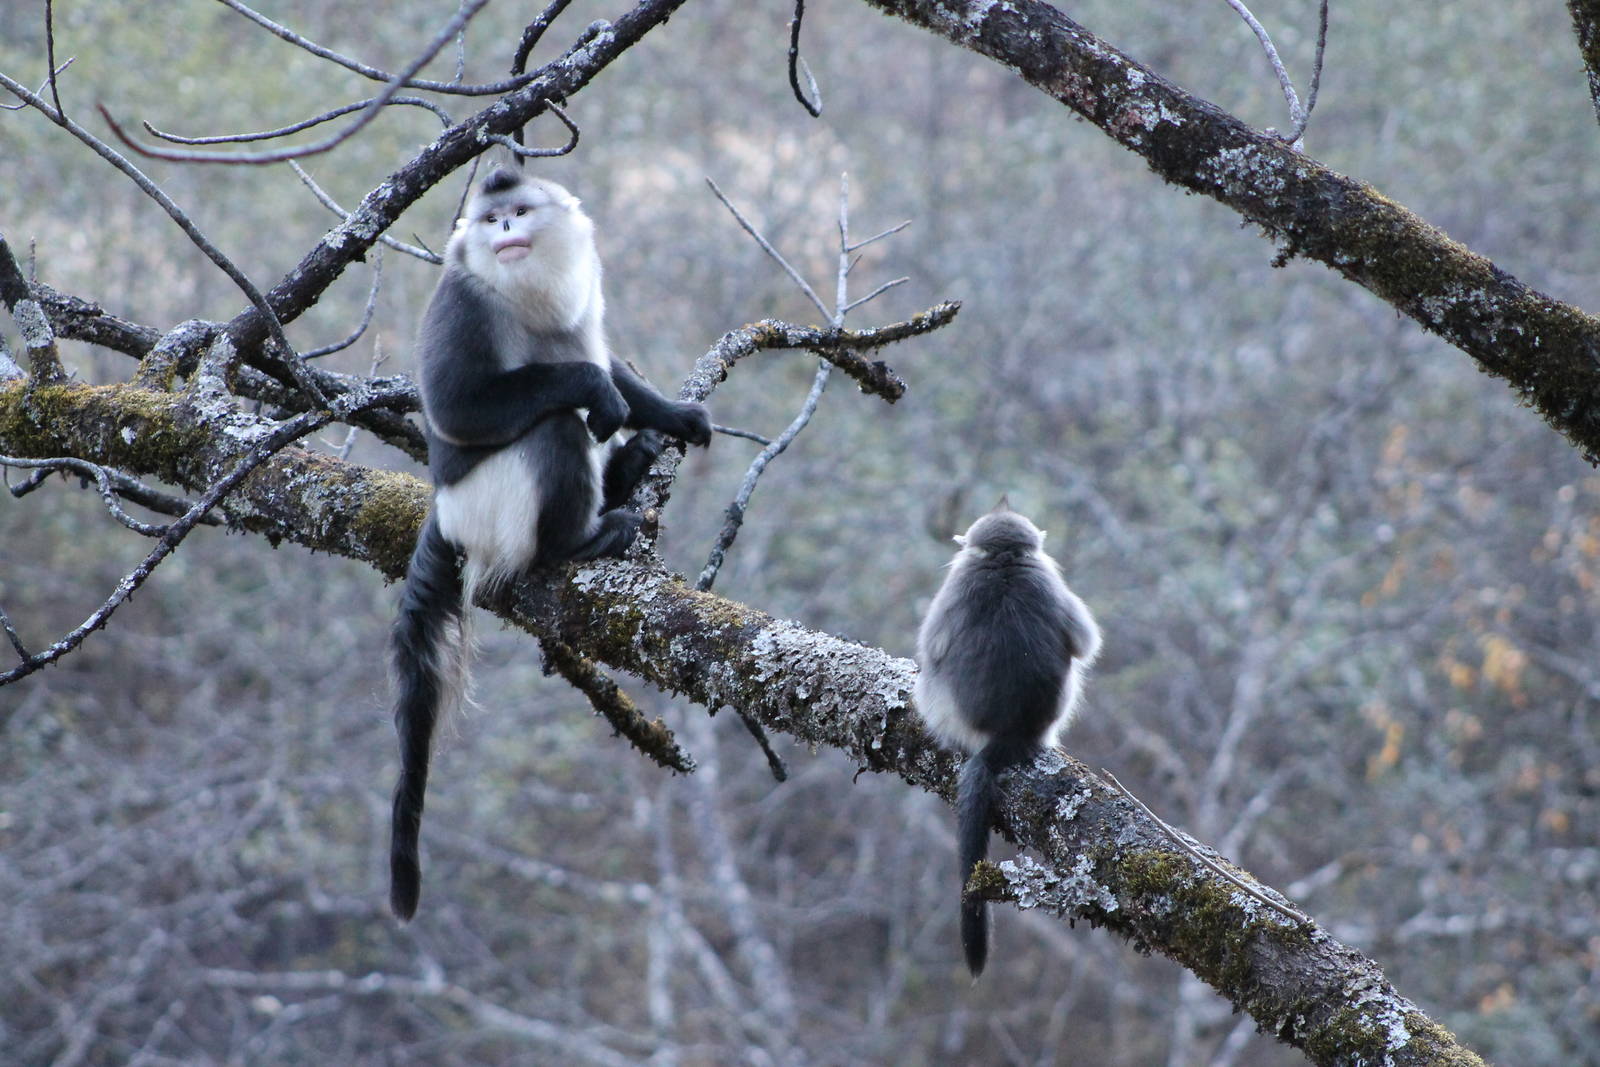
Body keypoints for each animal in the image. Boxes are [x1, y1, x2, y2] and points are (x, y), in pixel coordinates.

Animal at [389, 166, 712, 921]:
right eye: (491, 219)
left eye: (518, 211)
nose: (505, 229)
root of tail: (445, 512)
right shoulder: (463, 302)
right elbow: (458, 404)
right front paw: (598, 392)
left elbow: (608, 359)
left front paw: (670, 413)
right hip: (493, 509)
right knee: (560, 426)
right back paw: (585, 536)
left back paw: (630, 468)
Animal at [913, 501, 1101, 977]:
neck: (1005, 562)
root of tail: (1008, 733)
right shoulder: (1050, 579)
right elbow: (1084, 642)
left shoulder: (956, 583)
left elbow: (932, 645)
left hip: (941, 707)